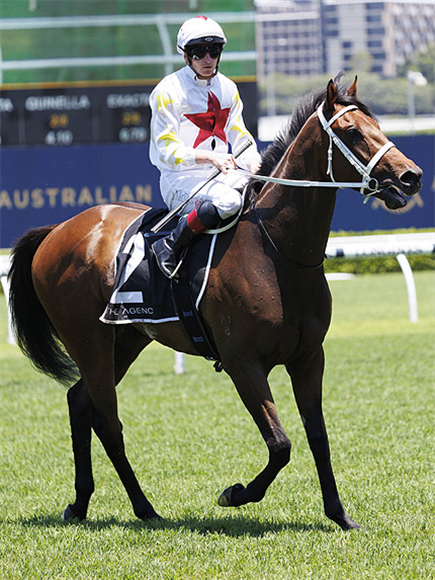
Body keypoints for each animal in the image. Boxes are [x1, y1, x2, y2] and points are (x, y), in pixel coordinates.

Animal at [7, 77, 422, 532]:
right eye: (352, 132)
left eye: (377, 124)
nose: (411, 176)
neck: (276, 252)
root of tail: (57, 229)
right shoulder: (244, 363)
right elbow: (280, 443)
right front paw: (235, 494)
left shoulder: (309, 357)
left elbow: (318, 436)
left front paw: (340, 515)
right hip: (88, 339)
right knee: (108, 421)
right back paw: (143, 508)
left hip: (126, 340)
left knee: (81, 403)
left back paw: (83, 504)